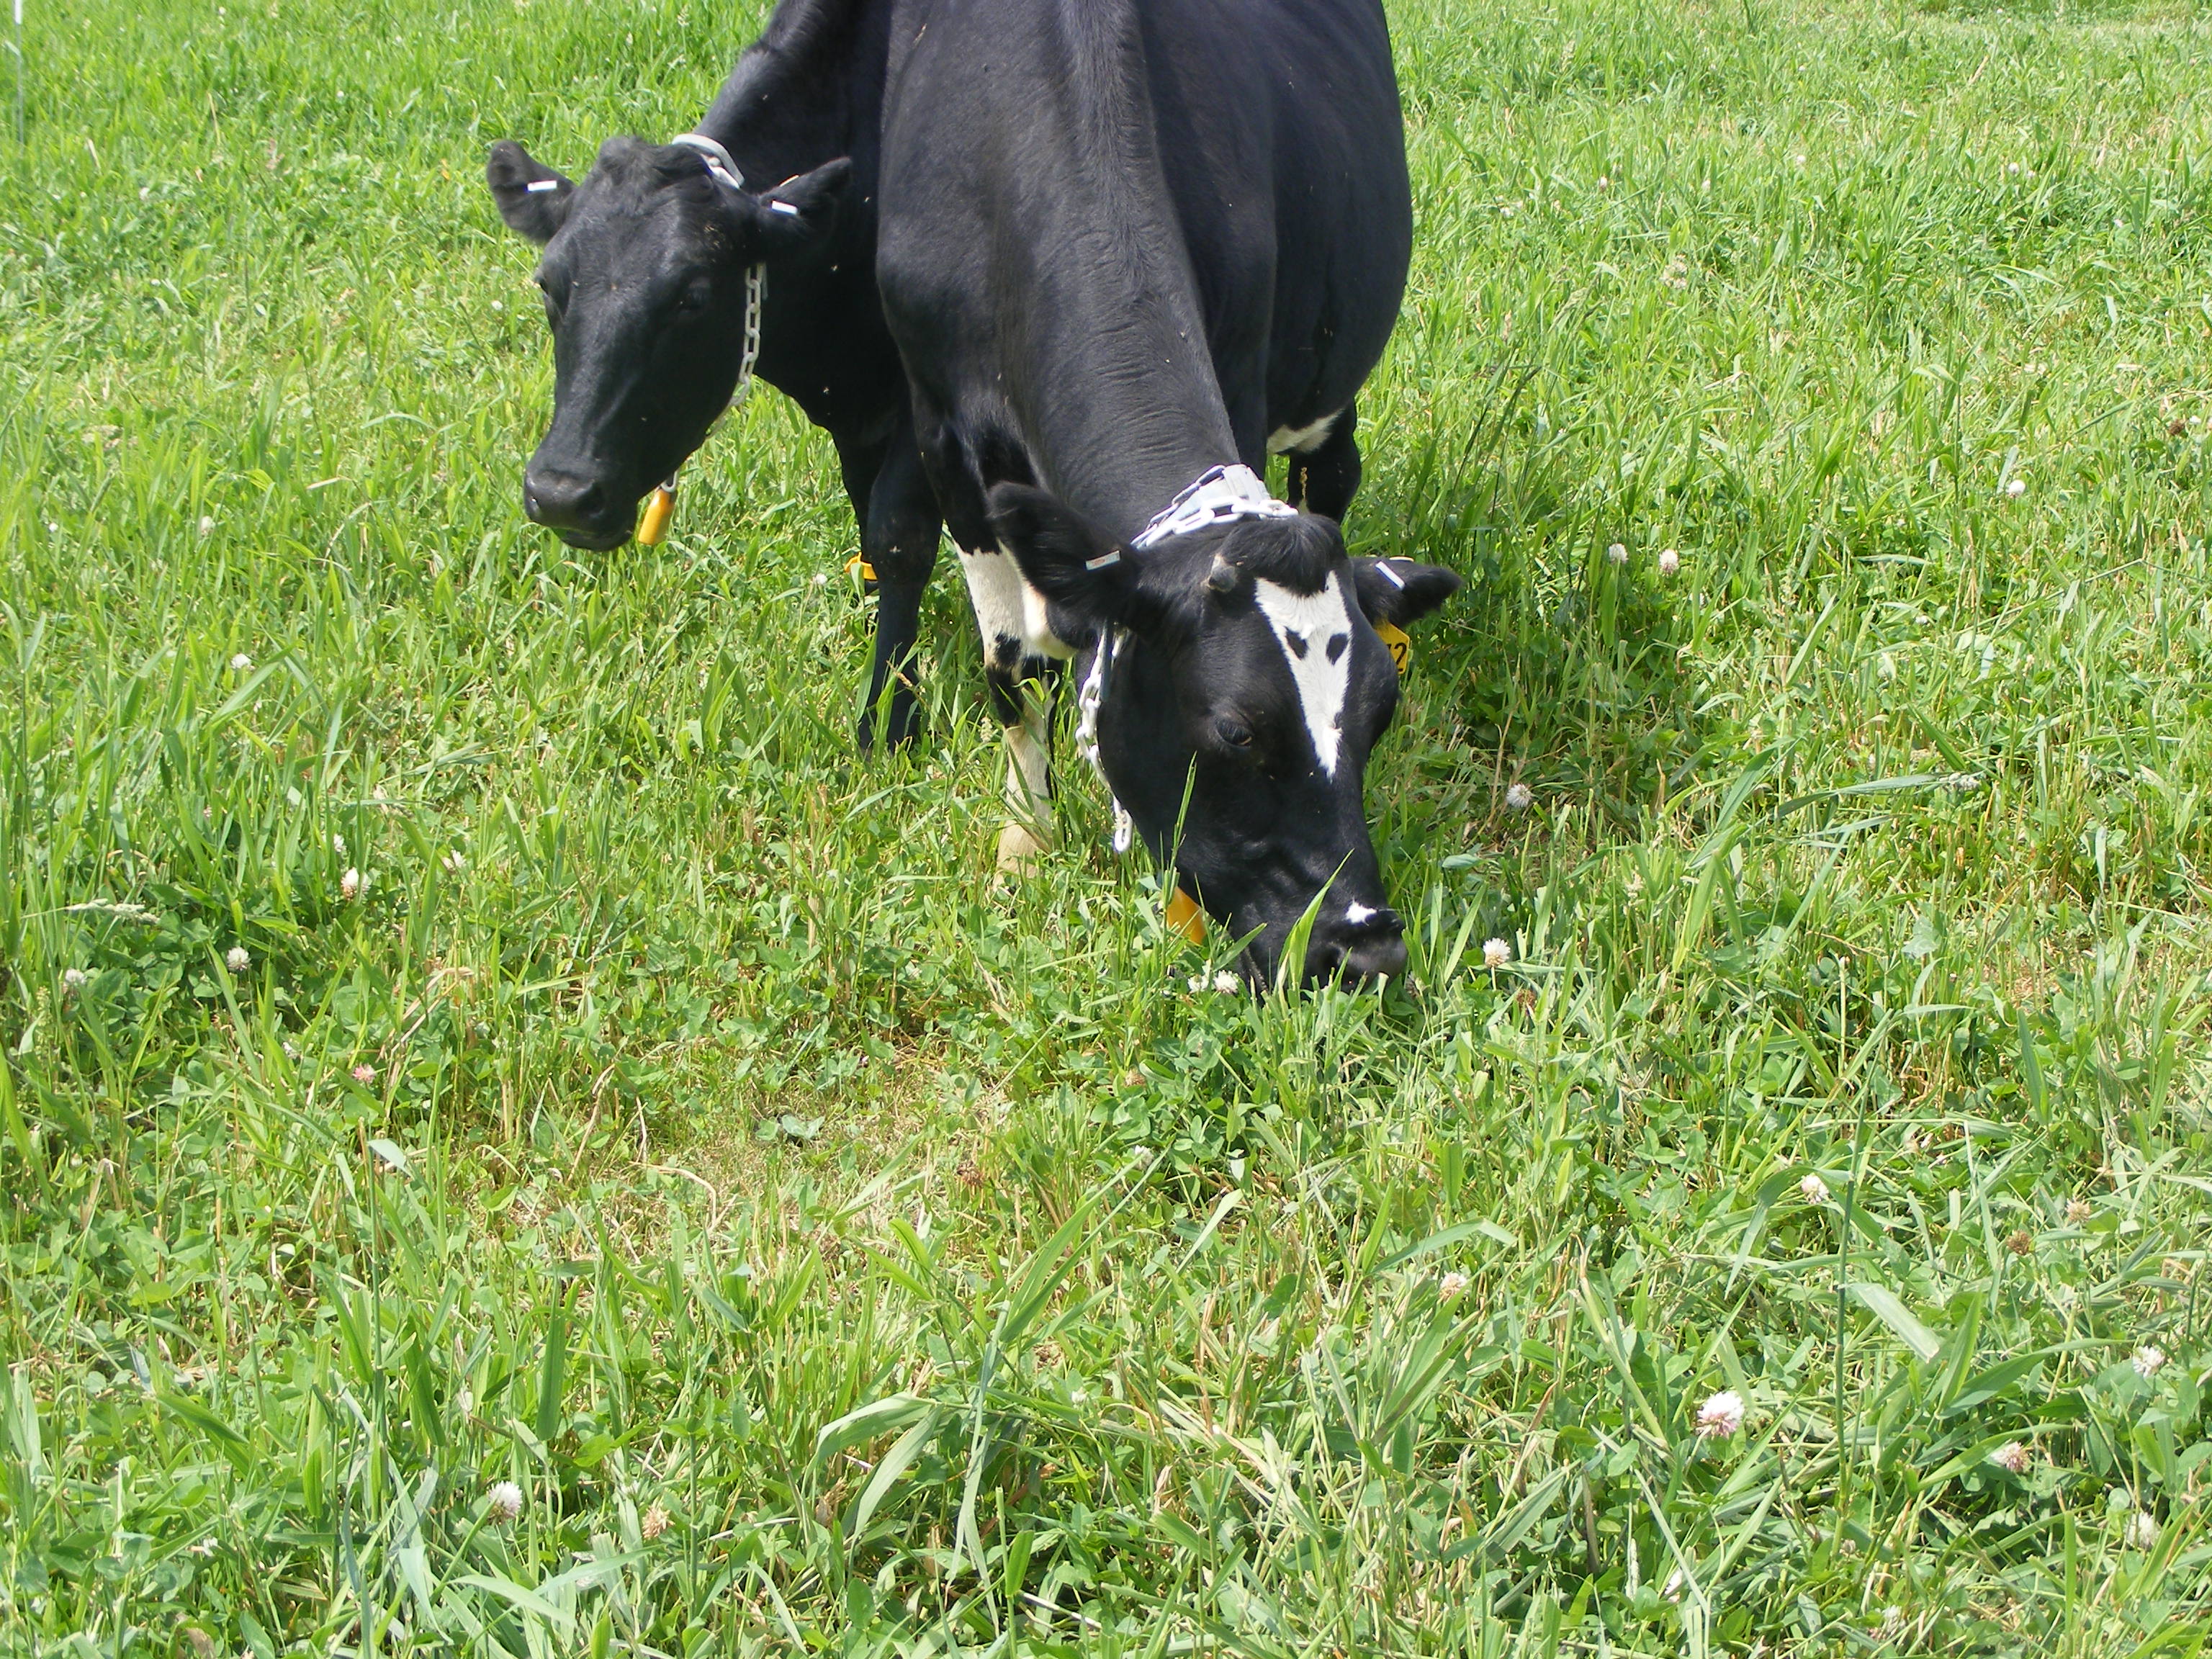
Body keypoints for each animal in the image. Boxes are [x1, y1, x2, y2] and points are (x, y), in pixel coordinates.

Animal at [876, 0, 1458, 986]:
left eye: (1380, 714)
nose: (1366, 947)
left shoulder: (1247, 371)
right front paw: (1025, 838)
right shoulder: (939, 428)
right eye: (1236, 733)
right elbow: (1010, 668)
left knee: (1334, 474)